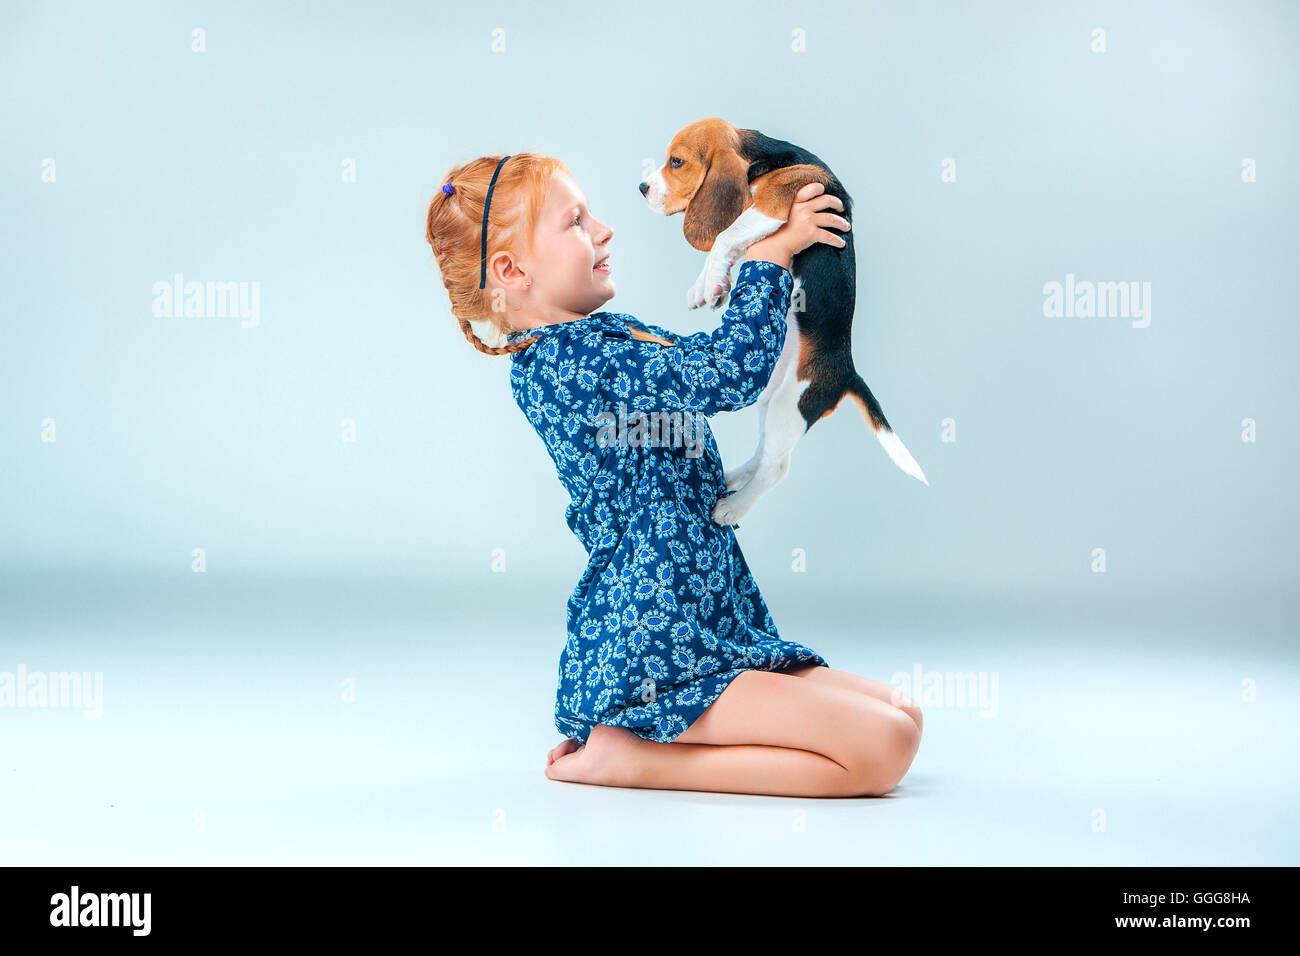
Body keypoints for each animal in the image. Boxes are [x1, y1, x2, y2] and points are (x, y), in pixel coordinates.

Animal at [637, 117, 925, 530]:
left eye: (676, 162)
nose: (642, 188)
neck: (762, 159)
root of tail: (847, 371)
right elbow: (729, 243)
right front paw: (709, 285)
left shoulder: (771, 204)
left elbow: (726, 235)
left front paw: (711, 280)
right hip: (769, 397)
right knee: (763, 455)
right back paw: (731, 478)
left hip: (791, 402)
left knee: (776, 469)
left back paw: (732, 507)